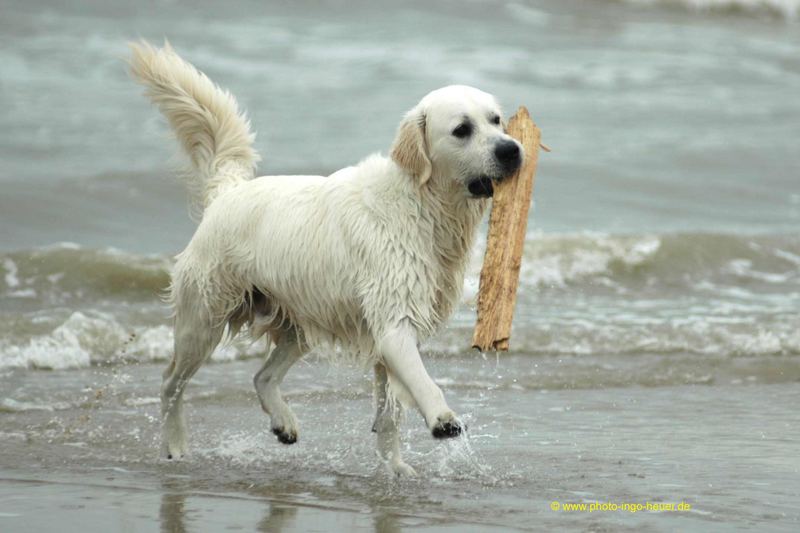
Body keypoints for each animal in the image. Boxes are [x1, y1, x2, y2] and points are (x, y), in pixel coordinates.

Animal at [128, 40, 520, 474]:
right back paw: (176, 446)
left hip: (301, 318)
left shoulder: (390, 333)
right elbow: (423, 383)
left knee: (262, 376)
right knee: (170, 383)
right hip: (204, 317)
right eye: (462, 130)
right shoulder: (395, 325)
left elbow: (390, 413)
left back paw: (283, 422)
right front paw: (442, 420)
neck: (423, 205)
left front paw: (394, 468)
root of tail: (228, 191)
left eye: (496, 121)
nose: (512, 150)